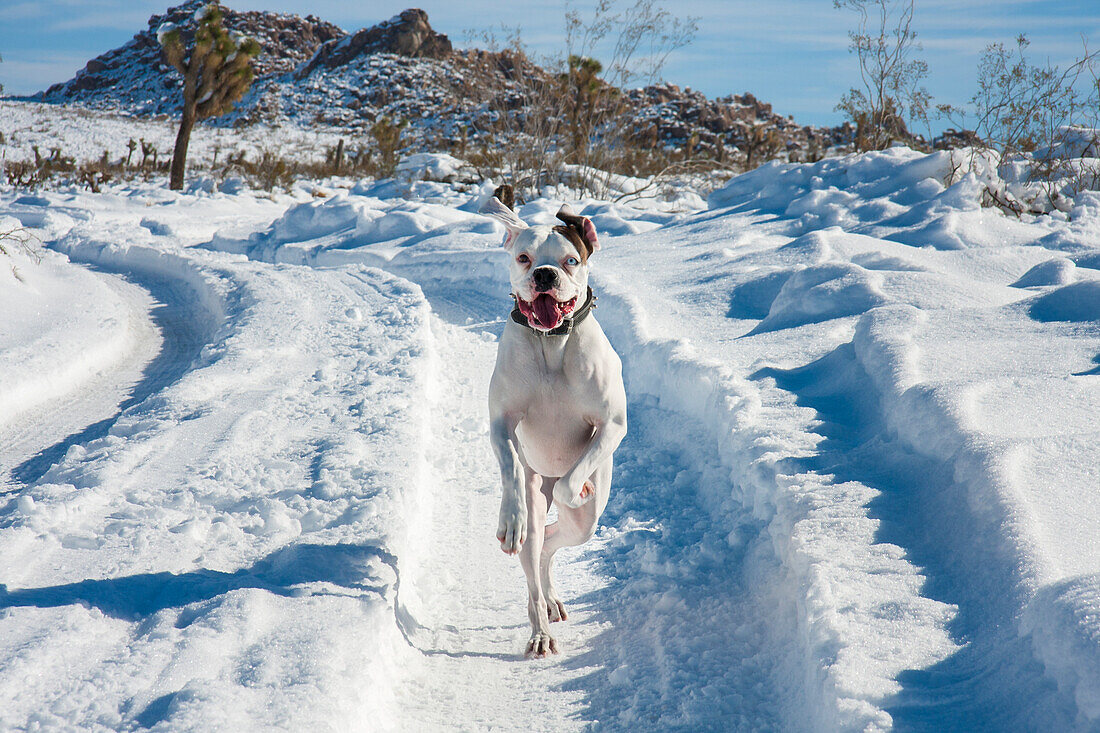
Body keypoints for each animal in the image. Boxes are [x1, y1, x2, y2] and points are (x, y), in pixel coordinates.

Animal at [481, 183, 629, 655]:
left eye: (571, 260)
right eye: (524, 257)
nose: (545, 274)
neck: (551, 343)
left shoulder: (612, 425)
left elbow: (572, 481)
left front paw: (577, 486)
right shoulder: (501, 422)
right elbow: (509, 465)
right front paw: (509, 519)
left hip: (585, 522)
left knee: (554, 536)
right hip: (535, 494)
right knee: (535, 553)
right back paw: (541, 628)